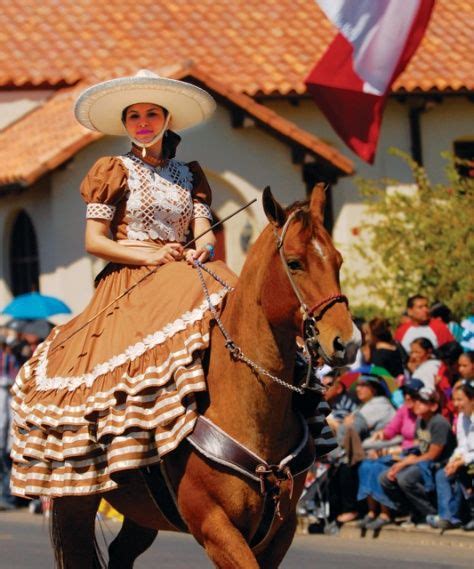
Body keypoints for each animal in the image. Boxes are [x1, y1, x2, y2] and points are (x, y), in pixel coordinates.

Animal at [50, 185, 361, 568]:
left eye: (338, 261)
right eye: (294, 263)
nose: (347, 342)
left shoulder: (280, 530)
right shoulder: (214, 526)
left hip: (142, 513)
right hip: (74, 503)